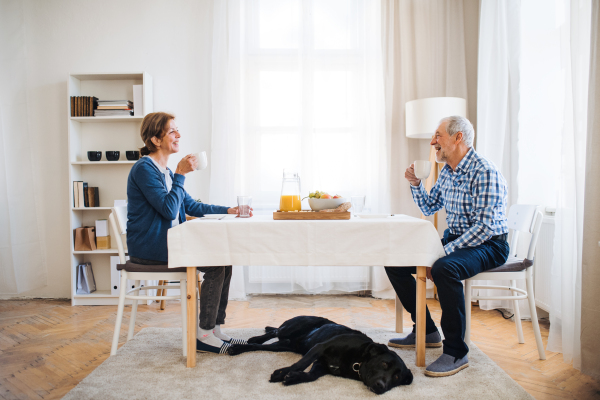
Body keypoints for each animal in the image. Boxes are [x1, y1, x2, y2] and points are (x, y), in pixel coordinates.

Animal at [226, 316, 412, 394]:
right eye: (384, 364)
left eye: (396, 378)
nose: (382, 386)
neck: (357, 360)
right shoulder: (320, 347)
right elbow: (300, 364)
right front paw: (281, 373)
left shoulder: (322, 364)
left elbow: (311, 376)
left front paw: (293, 377)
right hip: (292, 328)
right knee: (275, 330)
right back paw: (252, 338)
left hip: (283, 345)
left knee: (261, 345)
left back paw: (239, 348)